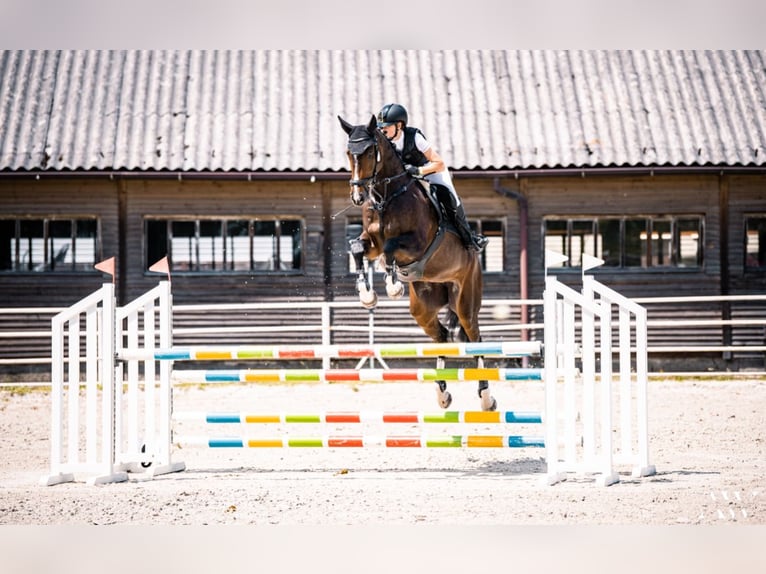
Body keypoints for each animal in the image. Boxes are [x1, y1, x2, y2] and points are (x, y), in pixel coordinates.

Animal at [338, 114, 496, 411]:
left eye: (368, 152)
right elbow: (357, 247)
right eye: (348, 153)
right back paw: (442, 392)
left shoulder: (417, 243)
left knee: (476, 339)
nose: (357, 197)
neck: (386, 195)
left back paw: (486, 397)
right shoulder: (371, 242)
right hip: (423, 307)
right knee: (442, 336)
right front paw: (367, 295)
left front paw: (392, 285)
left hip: (466, 300)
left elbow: (391, 248)